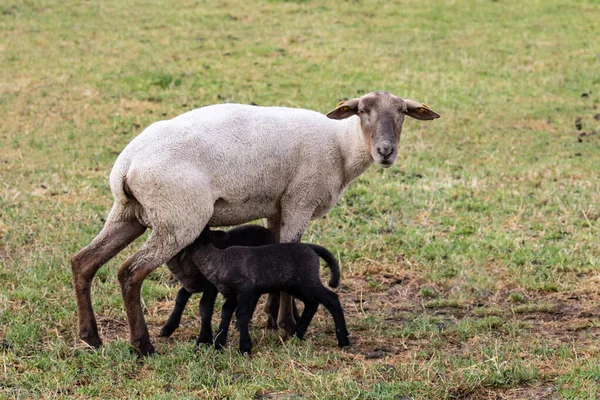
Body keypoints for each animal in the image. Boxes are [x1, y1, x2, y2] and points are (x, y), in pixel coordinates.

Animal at [188, 227, 346, 354]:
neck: (217, 260)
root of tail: (311, 248)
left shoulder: (246, 288)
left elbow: (241, 314)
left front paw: (244, 348)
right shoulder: (231, 294)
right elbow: (226, 312)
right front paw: (219, 344)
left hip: (308, 279)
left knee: (332, 299)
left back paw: (343, 340)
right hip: (295, 285)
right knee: (312, 303)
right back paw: (298, 334)